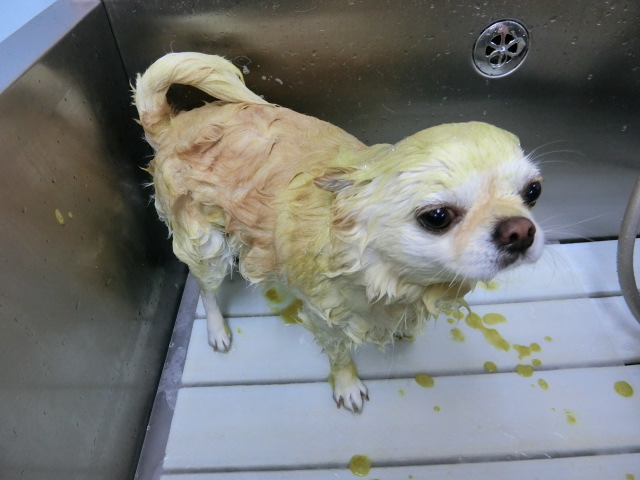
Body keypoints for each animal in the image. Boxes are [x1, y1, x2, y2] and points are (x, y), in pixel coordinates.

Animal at [134, 52, 545, 413]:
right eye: (438, 216)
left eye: (533, 191)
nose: (520, 231)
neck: (387, 274)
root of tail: (170, 125)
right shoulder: (325, 317)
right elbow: (340, 354)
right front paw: (347, 386)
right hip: (206, 246)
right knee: (206, 288)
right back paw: (217, 330)